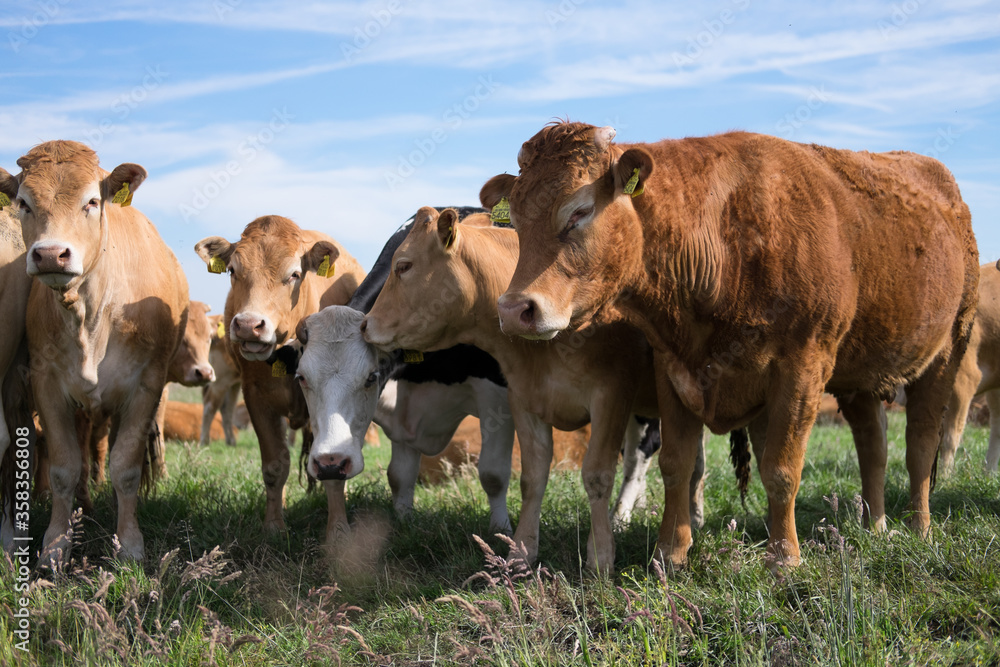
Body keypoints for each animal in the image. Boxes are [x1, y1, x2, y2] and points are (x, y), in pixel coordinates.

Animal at [0, 142, 188, 564]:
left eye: (91, 201)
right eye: (24, 203)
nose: (51, 254)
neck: (91, 314)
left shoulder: (145, 386)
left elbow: (126, 468)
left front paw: (130, 544)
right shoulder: (47, 385)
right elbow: (64, 469)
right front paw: (56, 546)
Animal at [194, 217, 364, 544]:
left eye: (294, 274)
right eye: (232, 270)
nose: (248, 325)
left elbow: (335, 470)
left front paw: (338, 530)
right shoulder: (256, 397)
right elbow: (274, 465)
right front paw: (274, 524)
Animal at [484, 122, 976, 572]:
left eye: (579, 211)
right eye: (516, 221)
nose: (514, 309)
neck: (725, 239)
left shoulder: (803, 368)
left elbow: (781, 470)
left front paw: (784, 558)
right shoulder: (673, 367)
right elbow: (677, 464)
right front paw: (670, 553)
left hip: (946, 353)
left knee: (920, 444)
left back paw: (918, 527)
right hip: (860, 377)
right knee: (873, 445)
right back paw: (875, 525)